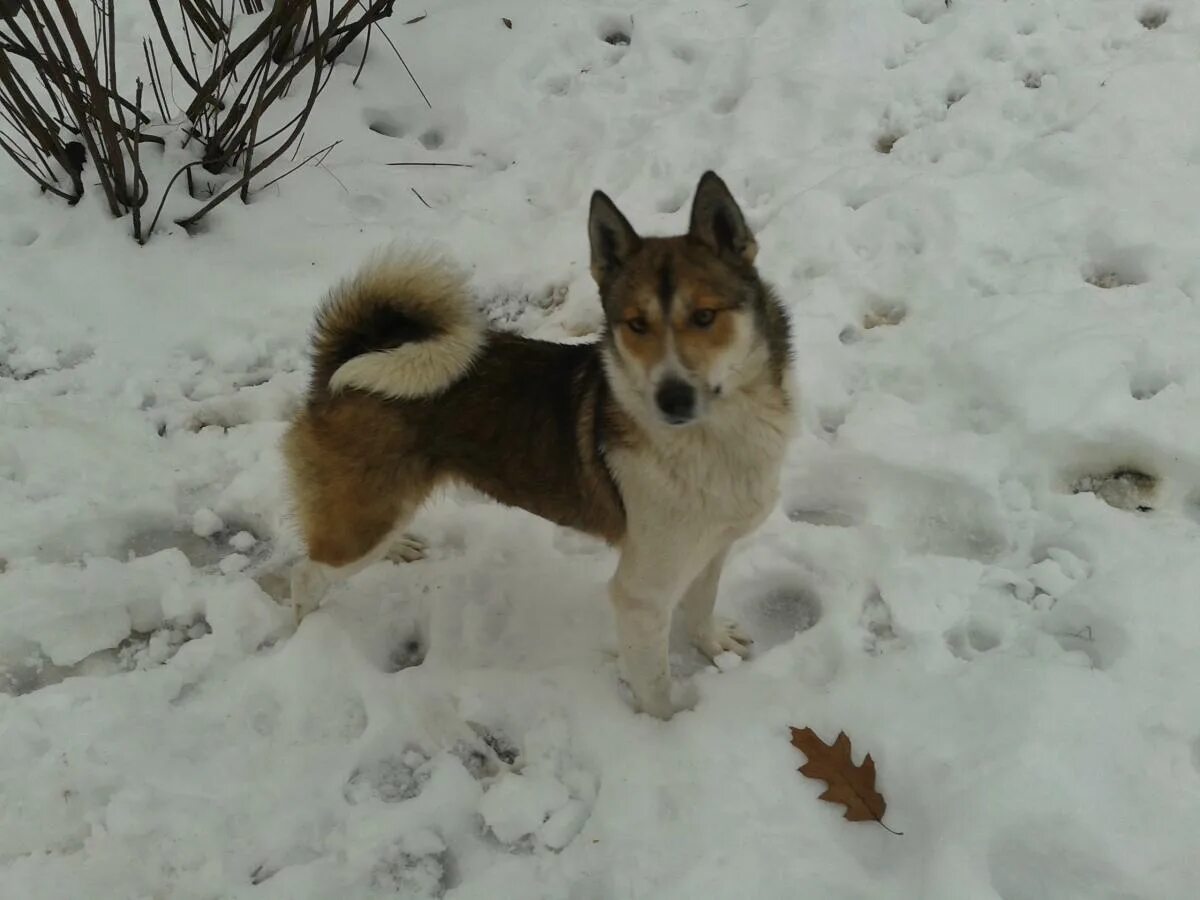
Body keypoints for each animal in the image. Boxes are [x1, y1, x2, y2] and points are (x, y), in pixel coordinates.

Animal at [280, 170, 796, 720]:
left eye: (704, 316)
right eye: (636, 324)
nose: (671, 398)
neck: (717, 440)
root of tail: (344, 360)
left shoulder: (711, 548)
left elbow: (700, 608)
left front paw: (713, 646)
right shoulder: (642, 595)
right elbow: (655, 685)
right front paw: (670, 728)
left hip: (375, 507)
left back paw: (399, 545)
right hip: (360, 522)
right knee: (306, 575)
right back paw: (306, 630)